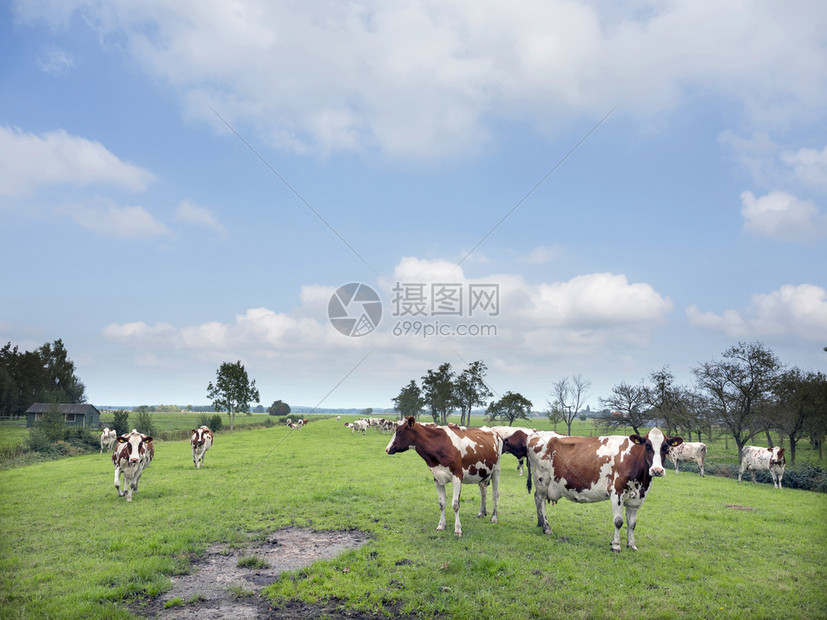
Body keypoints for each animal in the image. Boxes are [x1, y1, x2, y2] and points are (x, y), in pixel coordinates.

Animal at [528, 426, 684, 552]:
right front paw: (616, 546)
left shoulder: (636, 499)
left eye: (665, 447)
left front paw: (631, 545)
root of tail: (536, 434)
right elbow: (619, 521)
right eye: (647, 445)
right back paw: (547, 528)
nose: (657, 470)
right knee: (540, 500)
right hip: (542, 480)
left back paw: (540, 524)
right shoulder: (617, 493)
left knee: (536, 498)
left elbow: (632, 524)